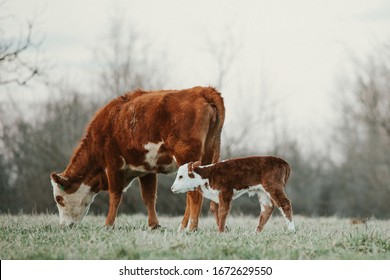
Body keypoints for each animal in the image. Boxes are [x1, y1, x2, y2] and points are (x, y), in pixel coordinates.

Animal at [50, 86, 224, 231]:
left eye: (58, 199)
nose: (63, 225)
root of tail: (203, 90)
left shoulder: (113, 165)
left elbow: (115, 195)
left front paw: (108, 225)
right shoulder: (147, 169)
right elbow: (149, 197)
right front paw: (154, 225)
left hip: (187, 156)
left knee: (194, 194)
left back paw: (191, 228)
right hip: (209, 154)